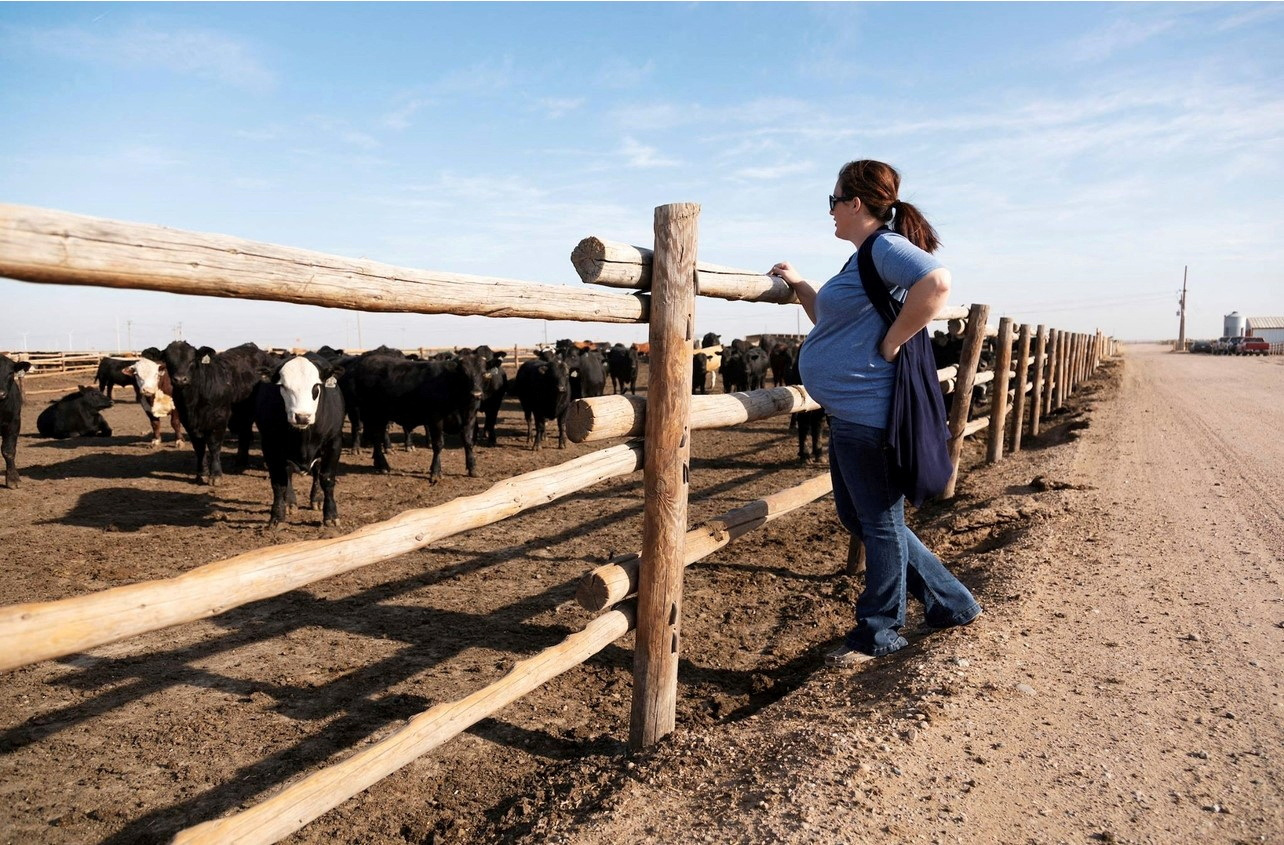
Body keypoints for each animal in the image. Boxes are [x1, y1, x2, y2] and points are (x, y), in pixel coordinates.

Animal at [252, 349, 346, 526]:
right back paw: (290, 502)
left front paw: (331, 515)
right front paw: (277, 516)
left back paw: (316, 499)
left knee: (316, 472)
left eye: (316, 386)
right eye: (282, 386)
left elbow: (327, 478)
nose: (302, 416)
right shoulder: (269, 445)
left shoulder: (334, 442)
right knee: (288, 473)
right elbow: (278, 481)